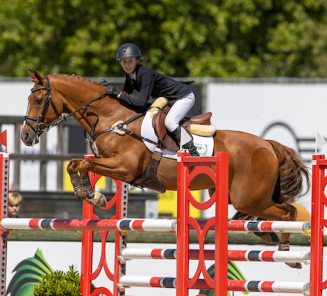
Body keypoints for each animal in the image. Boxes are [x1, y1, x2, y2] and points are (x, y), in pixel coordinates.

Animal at [21, 70, 310, 268]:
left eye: (39, 99)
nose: (25, 136)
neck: (112, 118)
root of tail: (268, 145)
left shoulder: (125, 168)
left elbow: (81, 163)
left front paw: (91, 194)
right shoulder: (112, 165)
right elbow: (77, 164)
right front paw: (92, 193)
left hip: (249, 197)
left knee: (290, 212)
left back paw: (287, 251)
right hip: (242, 196)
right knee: (275, 213)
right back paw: (270, 236)